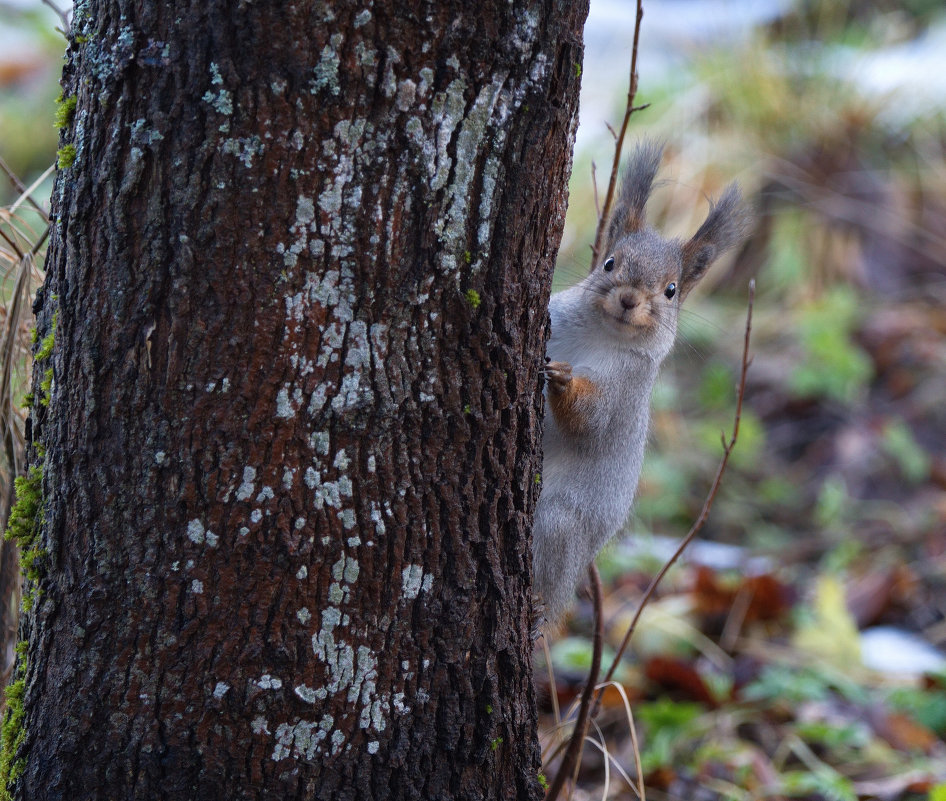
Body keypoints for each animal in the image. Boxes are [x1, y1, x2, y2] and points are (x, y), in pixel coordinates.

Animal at [532, 142, 744, 624]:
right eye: (610, 263)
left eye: (671, 290)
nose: (629, 299)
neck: (600, 335)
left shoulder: (627, 389)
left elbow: (592, 420)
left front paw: (563, 380)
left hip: (558, 527)